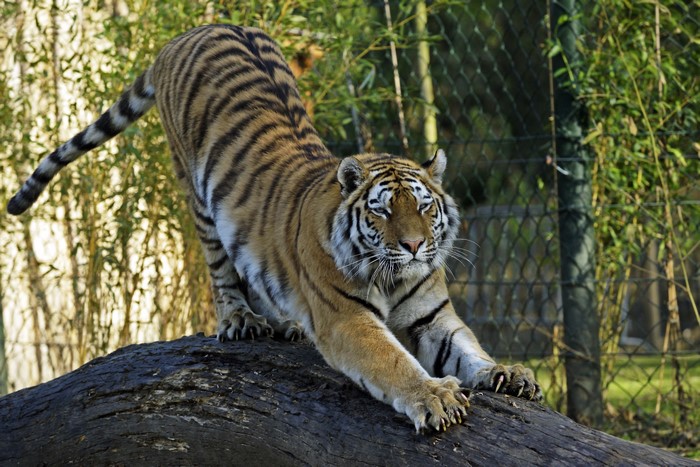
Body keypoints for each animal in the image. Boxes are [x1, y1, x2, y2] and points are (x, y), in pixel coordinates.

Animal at [7, 24, 542, 432]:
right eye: (384, 211)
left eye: (425, 207)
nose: (414, 246)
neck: (395, 275)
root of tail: (190, 32)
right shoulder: (347, 319)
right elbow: (392, 362)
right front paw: (433, 396)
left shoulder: (433, 317)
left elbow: (469, 349)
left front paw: (508, 373)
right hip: (196, 193)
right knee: (222, 271)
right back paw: (241, 320)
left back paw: (284, 324)